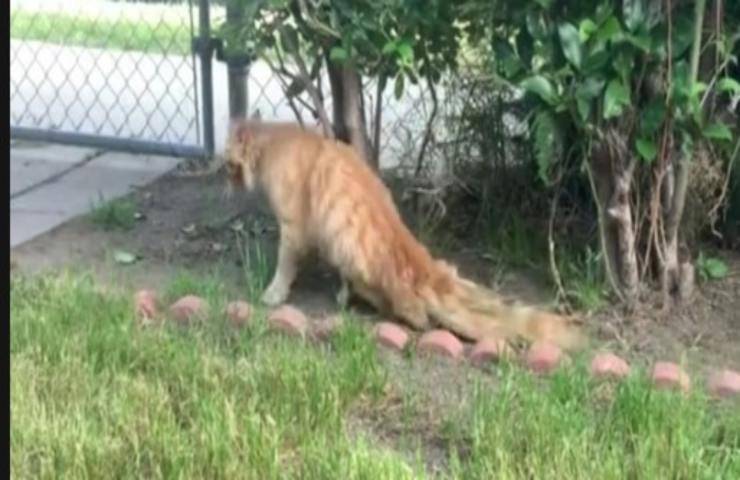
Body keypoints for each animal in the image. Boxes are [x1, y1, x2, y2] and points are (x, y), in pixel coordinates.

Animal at [224, 118, 584, 350]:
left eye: (227, 162)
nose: (223, 179)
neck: (275, 142)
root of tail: (424, 270)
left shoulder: (293, 228)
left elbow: (284, 267)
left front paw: (274, 292)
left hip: (352, 251)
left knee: (407, 310)